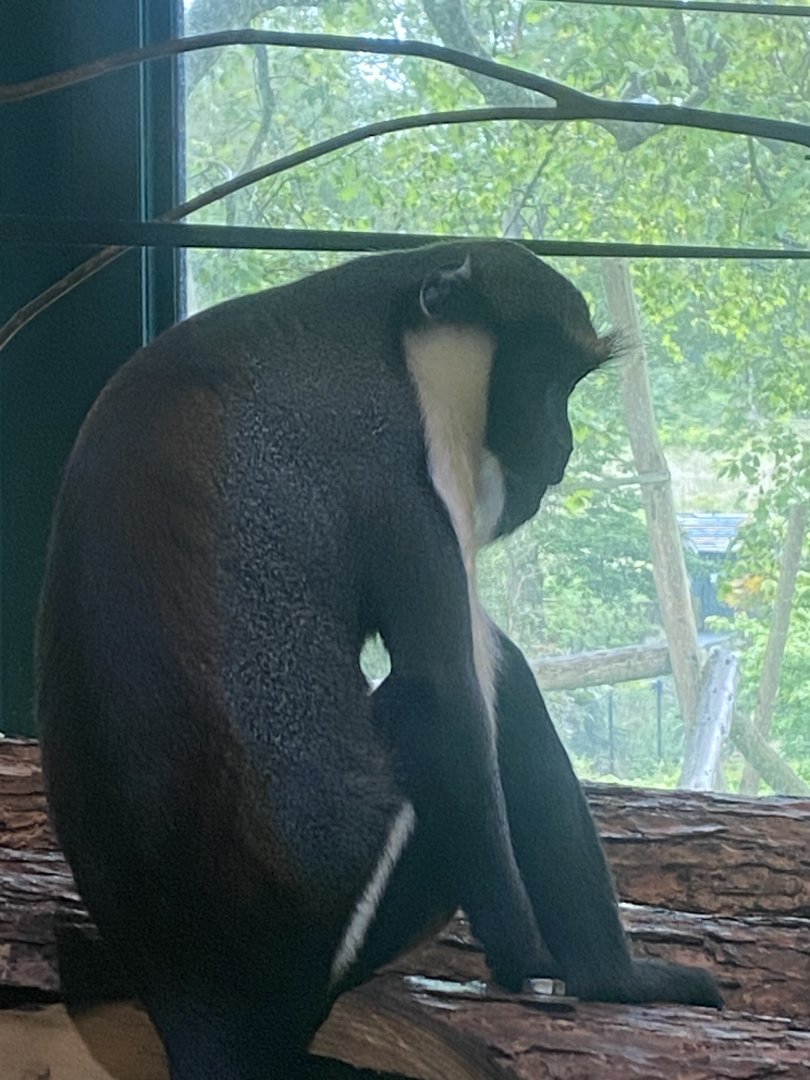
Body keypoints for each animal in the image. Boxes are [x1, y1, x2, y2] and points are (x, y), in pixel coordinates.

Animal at [38, 240, 722, 1080]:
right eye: (545, 380)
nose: (562, 447)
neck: (387, 321)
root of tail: (196, 1004)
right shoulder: (405, 476)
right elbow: (443, 695)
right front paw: (529, 958)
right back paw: (606, 977)